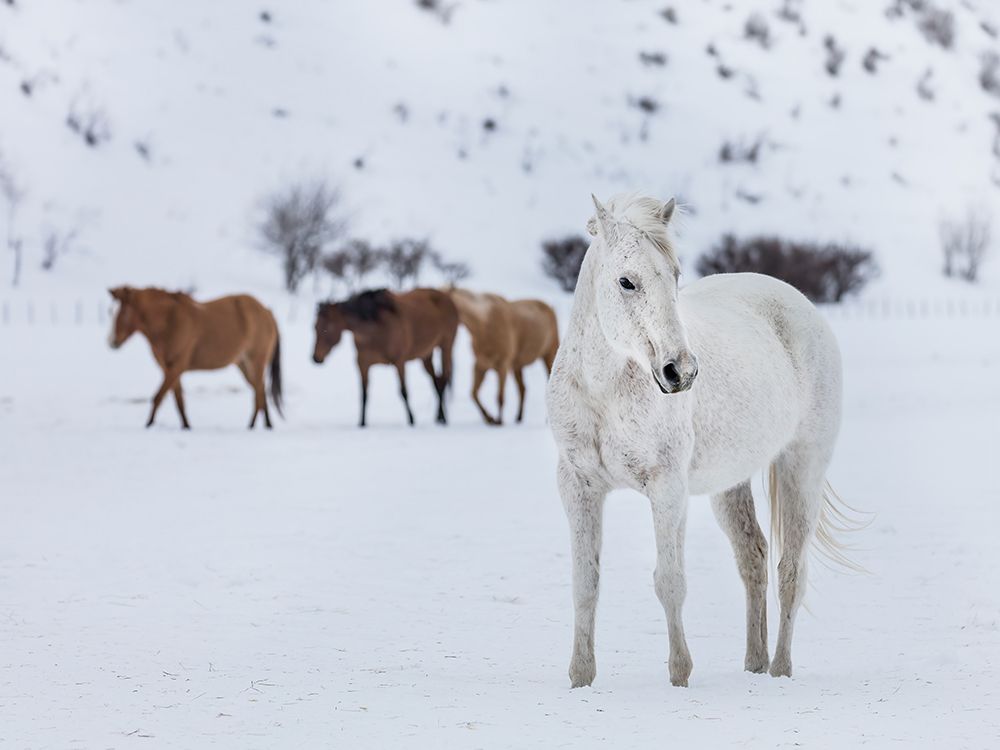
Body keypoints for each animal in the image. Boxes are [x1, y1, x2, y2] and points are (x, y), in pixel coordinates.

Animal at [108, 286, 282, 429]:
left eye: (124, 312)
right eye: (110, 311)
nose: (111, 341)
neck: (169, 322)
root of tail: (267, 311)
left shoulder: (176, 366)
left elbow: (158, 397)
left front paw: (148, 425)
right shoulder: (169, 369)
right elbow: (179, 400)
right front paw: (186, 426)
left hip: (256, 361)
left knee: (259, 391)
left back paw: (253, 425)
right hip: (243, 364)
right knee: (260, 390)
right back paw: (265, 424)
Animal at [312, 288, 458, 427]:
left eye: (328, 327)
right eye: (315, 327)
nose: (315, 357)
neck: (376, 330)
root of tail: (448, 298)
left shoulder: (399, 362)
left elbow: (404, 391)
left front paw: (411, 420)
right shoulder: (362, 363)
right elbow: (364, 394)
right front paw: (362, 423)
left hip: (446, 346)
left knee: (444, 379)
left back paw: (443, 419)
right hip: (426, 354)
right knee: (436, 381)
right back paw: (439, 417)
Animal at [448, 288, 559, 425]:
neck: (484, 325)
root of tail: (550, 307)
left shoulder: (502, 366)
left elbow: (500, 397)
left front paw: (499, 421)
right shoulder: (480, 366)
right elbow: (473, 393)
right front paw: (489, 418)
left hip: (549, 355)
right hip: (517, 366)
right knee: (522, 389)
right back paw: (518, 417)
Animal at [546, 193, 851, 688]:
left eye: (674, 274)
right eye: (626, 281)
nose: (681, 372)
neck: (606, 390)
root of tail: (797, 301)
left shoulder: (667, 488)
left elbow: (670, 581)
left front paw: (680, 675)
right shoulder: (578, 486)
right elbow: (585, 584)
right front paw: (581, 678)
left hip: (802, 468)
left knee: (790, 572)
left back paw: (780, 670)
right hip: (731, 484)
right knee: (753, 557)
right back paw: (754, 664)